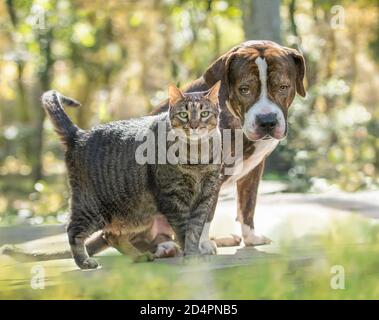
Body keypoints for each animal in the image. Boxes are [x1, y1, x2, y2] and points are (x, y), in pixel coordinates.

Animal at [40, 81, 223, 268]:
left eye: (204, 113)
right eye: (184, 114)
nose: (194, 126)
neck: (197, 156)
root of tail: (78, 134)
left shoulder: (205, 196)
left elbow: (195, 230)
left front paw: (195, 254)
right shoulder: (174, 199)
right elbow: (184, 231)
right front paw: (191, 257)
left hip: (135, 215)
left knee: (111, 235)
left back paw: (138, 256)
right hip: (91, 208)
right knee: (73, 231)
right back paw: (84, 261)